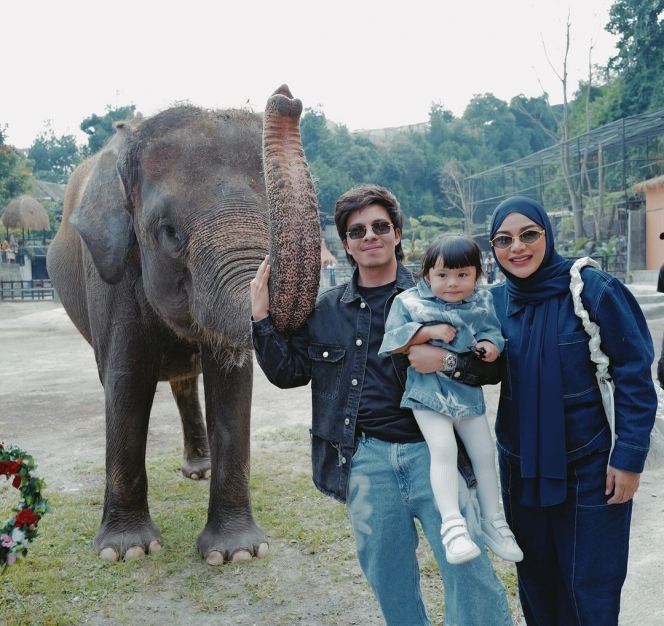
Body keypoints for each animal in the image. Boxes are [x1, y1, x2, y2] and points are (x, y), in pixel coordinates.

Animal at [45, 84, 320, 560]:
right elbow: (125, 380)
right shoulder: (111, 274)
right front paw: (127, 551)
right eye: (169, 232)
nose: (286, 97)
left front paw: (236, 553)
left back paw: (199, 471)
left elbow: (231, 381)